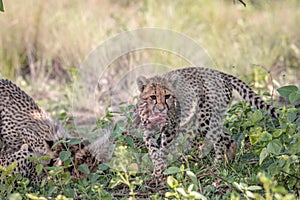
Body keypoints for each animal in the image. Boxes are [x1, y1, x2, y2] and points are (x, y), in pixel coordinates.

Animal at [132, 67, 278, 177]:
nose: (162, 108)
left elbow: (163, 149)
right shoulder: (148, 130)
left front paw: (162, 169)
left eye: (167, 96)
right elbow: (152, 149)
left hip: (204, 119)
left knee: (219, 140)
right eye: (153, 97)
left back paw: (217, 165)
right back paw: (229, 161)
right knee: (227, 137)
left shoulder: (171, 128)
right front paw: (157, 169)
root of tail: (222, 74)